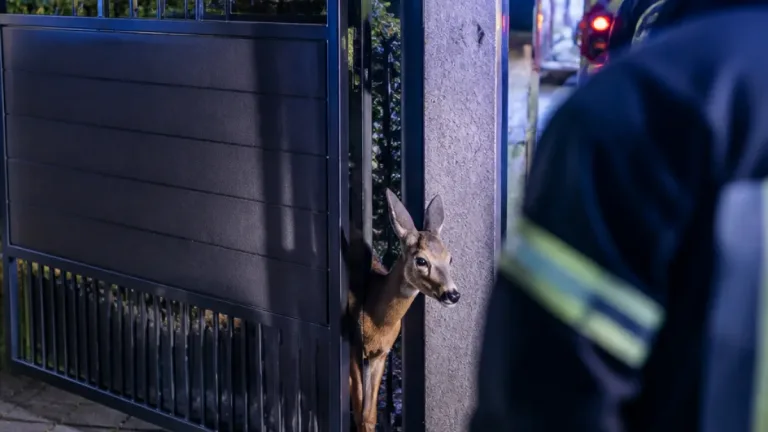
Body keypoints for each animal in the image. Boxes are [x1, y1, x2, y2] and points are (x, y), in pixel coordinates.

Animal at [345, 188, 460, 432]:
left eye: (450, 258)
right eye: (421, 260)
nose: (453, 294)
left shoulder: (381, 353)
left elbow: (369, 416)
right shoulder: (353, 347)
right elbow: (359, 415)